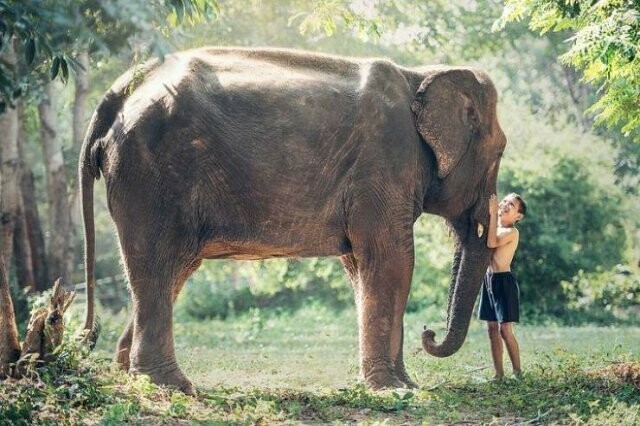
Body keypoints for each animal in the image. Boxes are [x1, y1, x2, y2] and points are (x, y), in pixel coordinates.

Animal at [79, 46, 504, 392]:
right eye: (500, 151)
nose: (428, 334)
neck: (420, 74)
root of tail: (120, 91)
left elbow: (360, 266)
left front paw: (402, 385)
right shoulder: (385, 163)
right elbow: (392, 261)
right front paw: (394, 389)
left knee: (173, 269)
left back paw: (129, 373)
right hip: (151, 174)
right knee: (157, 262)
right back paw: (171, 386)